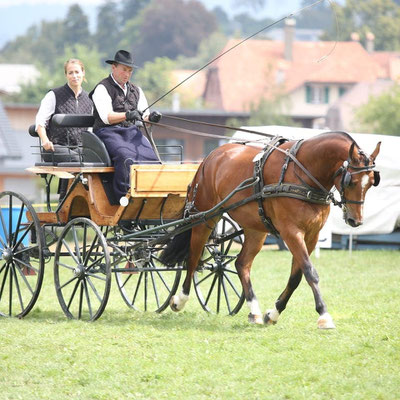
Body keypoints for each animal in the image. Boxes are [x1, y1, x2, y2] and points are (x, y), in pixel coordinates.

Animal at [160, 131, 382, 328]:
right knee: (193, 258)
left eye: (372, 182)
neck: (302, 172)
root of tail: (210, 157)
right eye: (351, 181)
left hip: (255, 228)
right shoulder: (291, 232)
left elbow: (296, 276)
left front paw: (273, 313)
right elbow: (310, 272)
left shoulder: (311, 235)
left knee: (241, 264)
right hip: (204, 218)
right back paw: (180, 299)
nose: (355, 220)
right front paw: (324, 315)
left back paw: (254, 311)